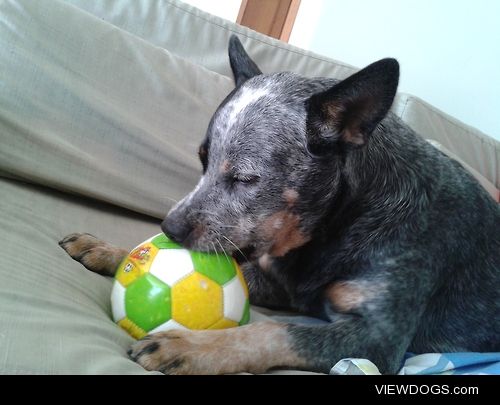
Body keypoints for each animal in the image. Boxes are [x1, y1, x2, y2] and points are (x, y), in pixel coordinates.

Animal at [59, 36, 500, 374]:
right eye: (202, 160)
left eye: (245, 178)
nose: (169, 229)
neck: (337, 226)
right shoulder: (284, 284)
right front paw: (113, 251)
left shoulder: (379, 340)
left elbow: (271, 330)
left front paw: (193, 346)